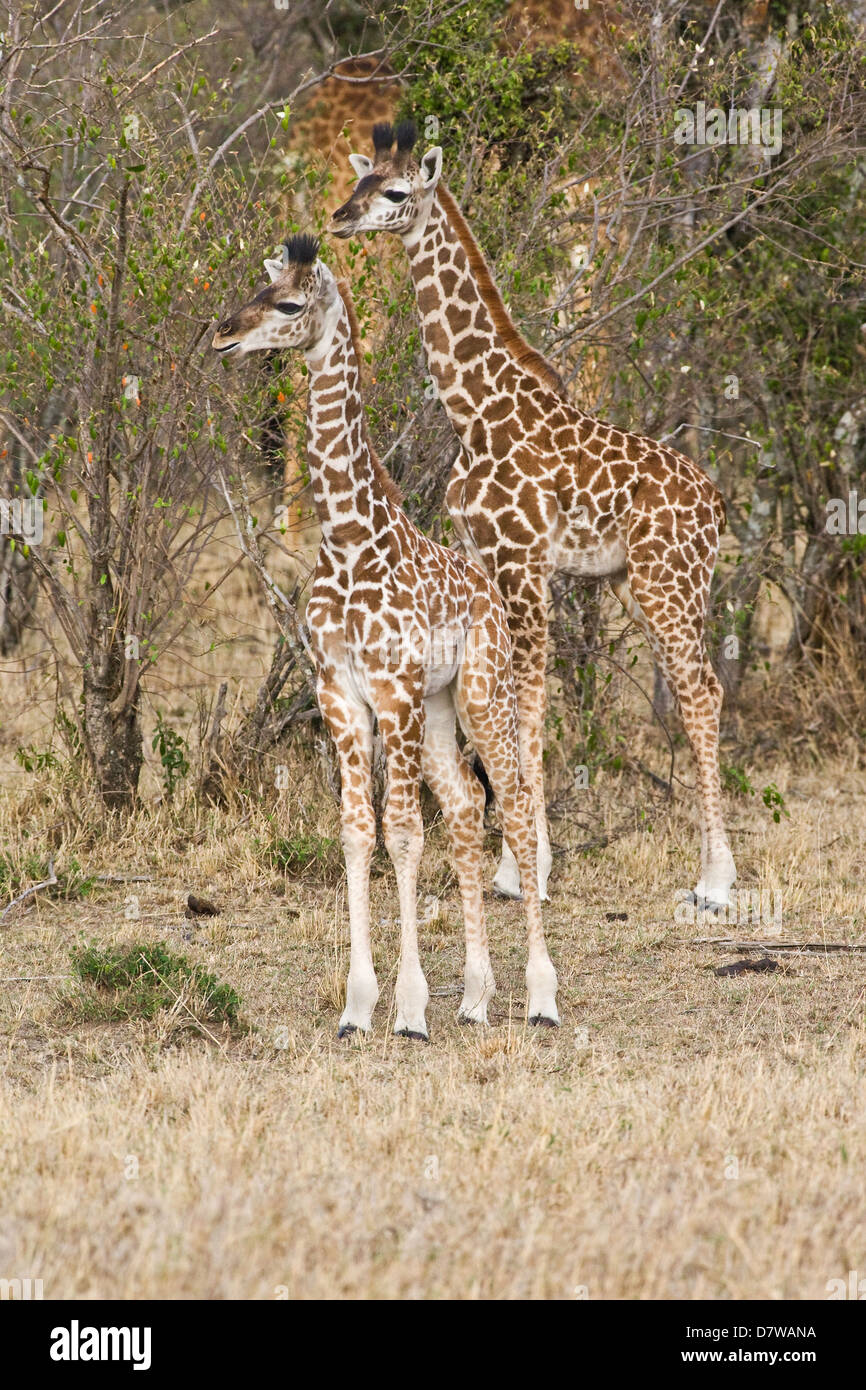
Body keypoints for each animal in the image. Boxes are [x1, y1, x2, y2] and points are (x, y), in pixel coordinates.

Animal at [212, 234, 559, 1036]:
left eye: (289, 304)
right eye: (258, 288)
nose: (224, 334)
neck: (346, 539)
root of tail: (489, 593)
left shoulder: (392, 690)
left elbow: (401, 833)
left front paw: (409, 1008)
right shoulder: (339, 693)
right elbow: (355, 832)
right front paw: (357, 1005)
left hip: (481, 690)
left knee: (513, 800)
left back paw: (541, 995)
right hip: (437, 708)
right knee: (464, 804)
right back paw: (476, 997)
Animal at [328, 121, 737, 910]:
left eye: (393, 193)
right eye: (361, 182)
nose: (339, 218)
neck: (475, 411)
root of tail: (716, 504)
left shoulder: (522, 560)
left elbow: (526, 704)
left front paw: (529, 871)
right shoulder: (484, 560)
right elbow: (503, 706)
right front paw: (515, 865)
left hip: (663, 583)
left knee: (703, 691)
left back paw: (716, 884)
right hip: (647, 584)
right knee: (697, 689)